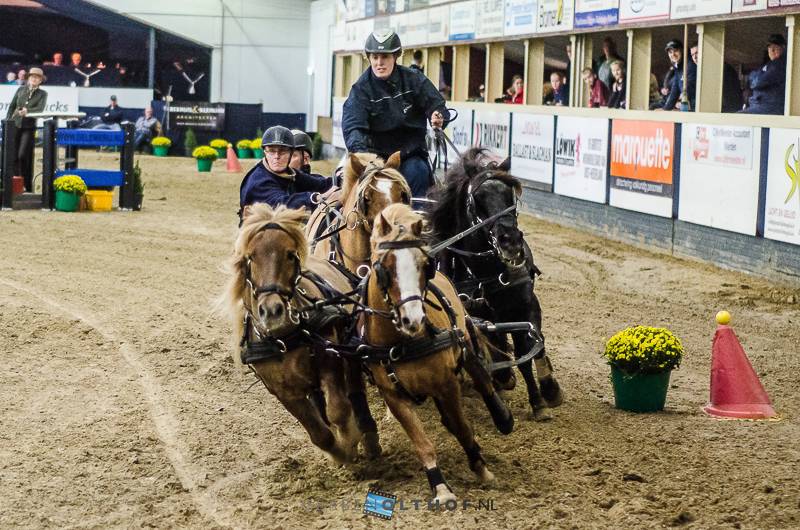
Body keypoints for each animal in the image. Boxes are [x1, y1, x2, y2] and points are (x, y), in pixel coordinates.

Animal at [217, 203, 370, 462]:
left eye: (290, 254)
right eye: (251, 257)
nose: (272, 310)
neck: (284, 337)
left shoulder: (329, 360)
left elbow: (338, 410)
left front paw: (350, 443)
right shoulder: (283, 391)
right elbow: (320, 434)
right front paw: (339, 456)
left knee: (355, 389)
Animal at [358, 202, 512, 504]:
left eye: (424, 266)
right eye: (384, 267)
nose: (413, 319)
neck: (403, 343)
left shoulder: (446, 383)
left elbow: (463, 428)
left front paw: (482, 469)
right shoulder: (394, 396)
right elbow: (422, 443)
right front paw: (440, 486)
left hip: (465, 338)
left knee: (482, 380)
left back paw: (502, 417)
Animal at [428, 146, 564, 418]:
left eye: (510, 194)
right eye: (476, 199)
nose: (510, 242)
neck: (487, 272)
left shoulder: (526, 304)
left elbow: (531, 347)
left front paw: (545, 393)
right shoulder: (475, 318)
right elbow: (499, 349)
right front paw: (508, 381)